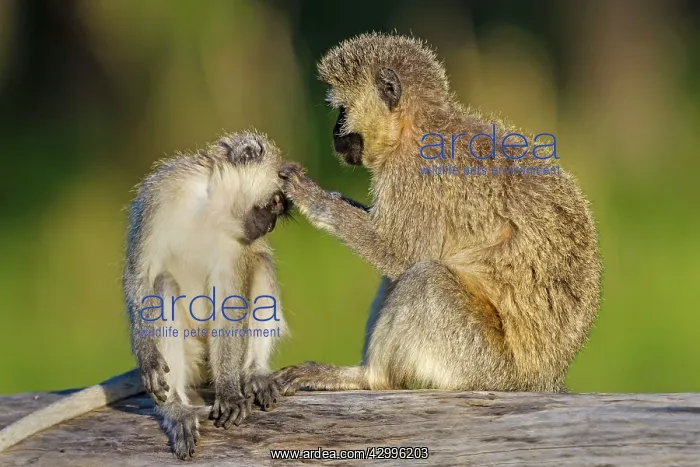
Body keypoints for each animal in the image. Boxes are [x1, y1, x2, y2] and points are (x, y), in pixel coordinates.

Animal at [0, 131, 290, 459]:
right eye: (275, 202)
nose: (270, 225)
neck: (211, 208)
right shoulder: (158, 196)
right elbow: (140, 273)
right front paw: (147, 356)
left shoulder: (238, 243)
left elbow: (231, 302)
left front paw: (229, 390)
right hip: (190, 352)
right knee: (163, 286)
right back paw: (176, 409)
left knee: (261, 266)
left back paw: (254, 374)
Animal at [272, 33, 601, 394]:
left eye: (342, 111)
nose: (333, 134)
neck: (415, 128)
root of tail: (539, 379)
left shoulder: (415, 175)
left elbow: (401, 254)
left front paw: (314, 197)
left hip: (476, 360)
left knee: (425, 278)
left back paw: (369, 377)